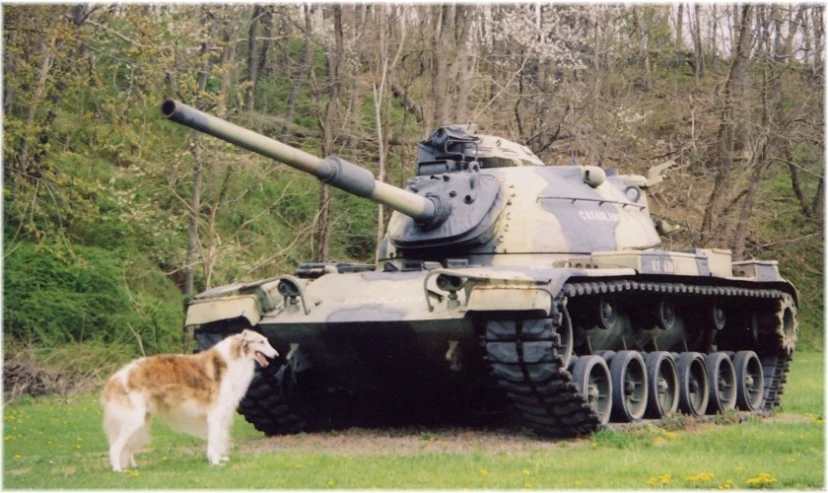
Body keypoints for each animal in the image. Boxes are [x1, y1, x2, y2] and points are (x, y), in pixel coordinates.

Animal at [101, 328, 276, 470]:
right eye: (261, 341)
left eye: (267, 340)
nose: (276, 355)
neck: (232, 358)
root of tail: (116, 378)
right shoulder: (215, 414)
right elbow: (214, 441)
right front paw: (215, 463)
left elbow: (218, 439)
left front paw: (219, 459)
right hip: (134, 420)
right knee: (115, 447)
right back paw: (118, 470)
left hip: (141, 420)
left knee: (127, 447)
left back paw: (133, 467)